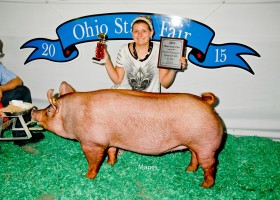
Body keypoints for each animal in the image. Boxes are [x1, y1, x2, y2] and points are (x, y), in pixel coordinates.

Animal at [31, 81, 223, 188]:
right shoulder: (110, 141)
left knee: (210, 165)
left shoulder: (92, 143)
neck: (73, 115)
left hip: (206, 145)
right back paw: (188, 170)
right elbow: (112, 151)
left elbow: (93, 162)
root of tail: (207, 103)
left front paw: (87, 177)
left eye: (49, 111)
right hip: (195, 144)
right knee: (194, 157)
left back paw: (205, 186)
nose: (34, 110)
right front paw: (111, 164)